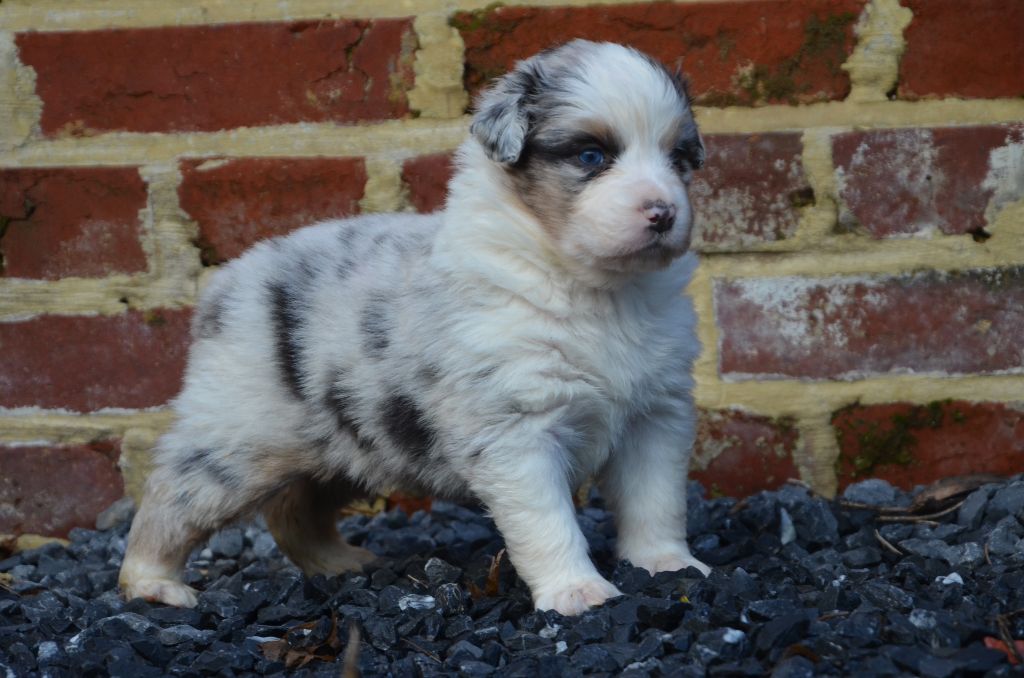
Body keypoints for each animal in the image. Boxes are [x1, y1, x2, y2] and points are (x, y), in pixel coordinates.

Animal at [119, 39, 710, 616]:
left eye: (678, 158)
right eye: (592, 156)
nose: (663, 213)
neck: (597, 291)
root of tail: (225, 282)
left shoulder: (656, 416)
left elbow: (656, 502)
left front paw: (668, 565)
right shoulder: (516, 431)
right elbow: (548, 521)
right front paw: (577, 592)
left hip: (345, 444)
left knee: (294, 511)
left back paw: (340, 564)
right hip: (233, 442)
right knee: (171, 497)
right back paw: (153, 584)